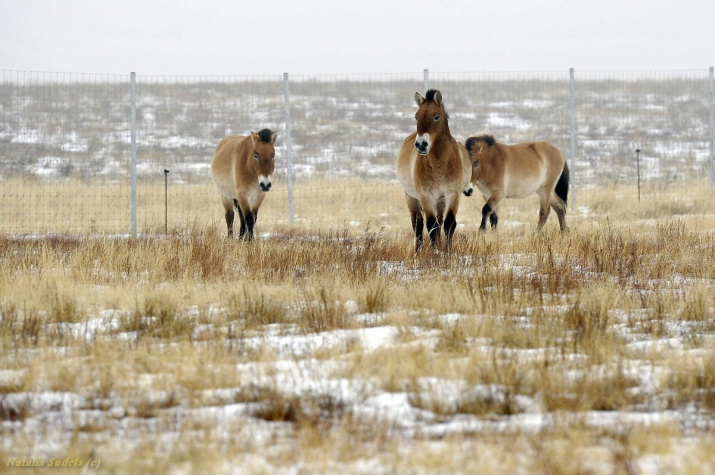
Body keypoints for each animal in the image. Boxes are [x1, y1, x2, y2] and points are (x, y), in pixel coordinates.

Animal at [394, 90, 472, 253]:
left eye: (436, 116)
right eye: (416, 116)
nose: (421, 144)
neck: (439, 165)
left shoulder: (452, 194)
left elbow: (449, 224)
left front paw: (447, 251)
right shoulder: (426, 196)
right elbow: (431, 226)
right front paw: (436, 252)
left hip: (440, 200)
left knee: (440, 221)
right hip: (411, 198)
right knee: (417, 223)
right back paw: (418, 250)